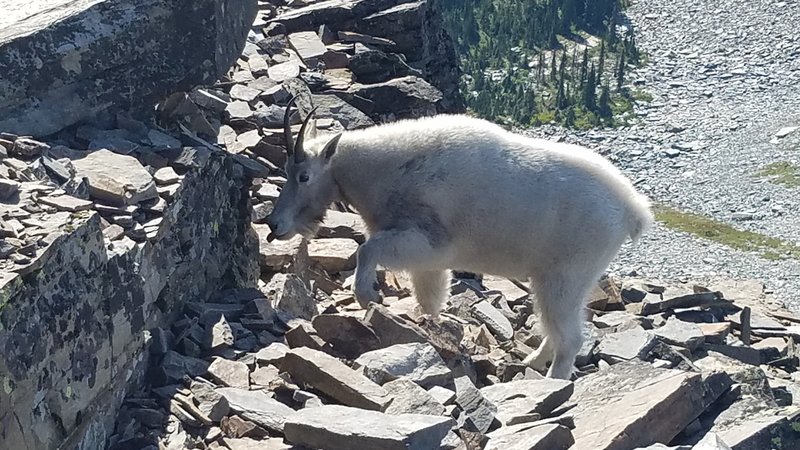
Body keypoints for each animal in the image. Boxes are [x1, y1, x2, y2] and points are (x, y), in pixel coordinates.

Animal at [266, 99, 652, 380]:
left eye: (303, 176)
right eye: (285, 171)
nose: (274, 224)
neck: (387, 169)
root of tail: (632, 210)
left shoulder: (427, 240)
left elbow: (367, 249)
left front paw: (368, 297)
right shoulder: (429, 261)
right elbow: (430, 299)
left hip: (567, 273)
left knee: (570, 337)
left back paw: (551, 382)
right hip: (560, 278)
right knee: (557, 326)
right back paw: (531, 360)